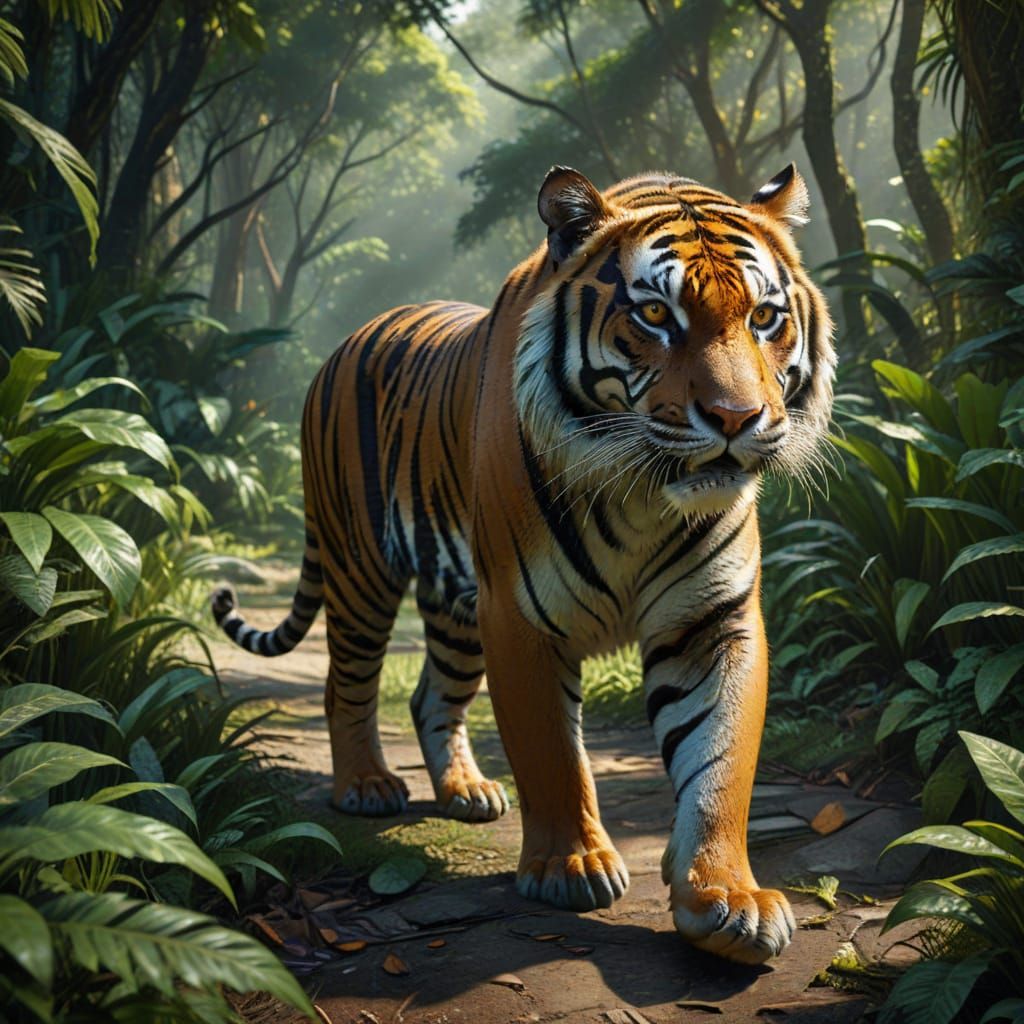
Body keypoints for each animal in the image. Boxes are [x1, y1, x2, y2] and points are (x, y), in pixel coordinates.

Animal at [212, 163, 834, 964]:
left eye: (763, 317)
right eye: (655, 315)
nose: (736, 419)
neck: (644, 496)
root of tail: (347, 341)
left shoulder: (712, 619)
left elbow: (719, 760)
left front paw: (728, 898)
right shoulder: (519, 614)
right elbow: (550, 752)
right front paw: (572, 866)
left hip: (454, 608)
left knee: (431, 696)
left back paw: (466, 792)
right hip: (360, 569)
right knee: (344, 683)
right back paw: (367, 784)